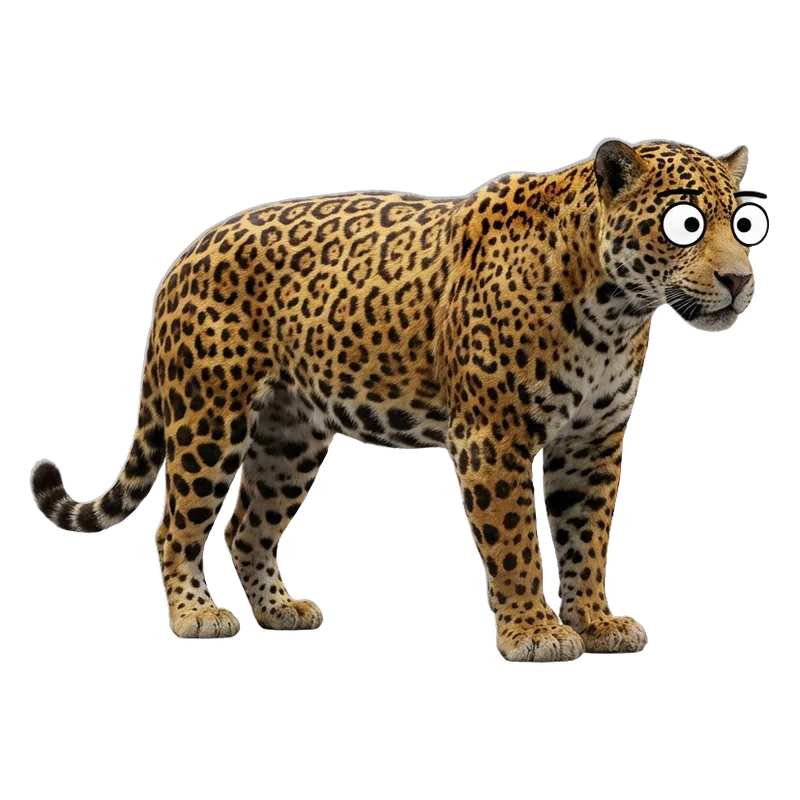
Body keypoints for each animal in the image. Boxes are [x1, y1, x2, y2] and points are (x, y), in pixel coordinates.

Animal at [30, 137, 764, 660]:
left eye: (742, 223)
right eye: (683, 224)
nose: (738, 280)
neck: (614, 309)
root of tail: (185, 255)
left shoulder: (592, 442)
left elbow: (588, 536)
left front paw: (595, 620)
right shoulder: (493, 435)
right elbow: (517, 542)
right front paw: (533, 631)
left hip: (291, 434)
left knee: (246, 527)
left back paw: (281, 608)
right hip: (211, 416)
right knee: (178, 525)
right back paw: (194, 615)